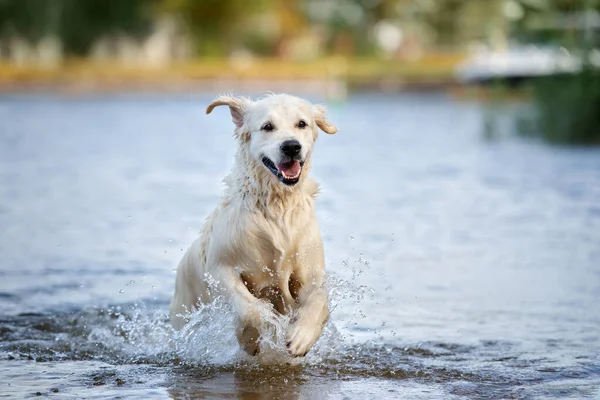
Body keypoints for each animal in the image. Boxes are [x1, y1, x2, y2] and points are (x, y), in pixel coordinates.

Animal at [170, 91, 338, 356]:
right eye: (267, 126)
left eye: (302, 123)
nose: (291, 146)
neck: (276, 205)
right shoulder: (220, 268)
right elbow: (248, 308)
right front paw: (251, 339)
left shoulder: (310, 271)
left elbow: (318, 299)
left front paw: (301, 336)